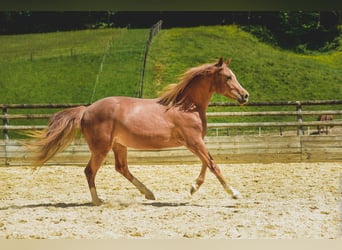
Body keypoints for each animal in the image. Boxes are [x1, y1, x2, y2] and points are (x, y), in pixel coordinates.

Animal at [29, 58, 248, 205]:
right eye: (228, 77)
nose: (245, 96)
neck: (187, 107)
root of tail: (85, 110)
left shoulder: (195, 142)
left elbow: (206, 163)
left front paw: (193, 188)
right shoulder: (194, 141)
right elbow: (213, 165)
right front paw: (234, 193)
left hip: (119, 145)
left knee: (121, 168)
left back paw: (149, 193)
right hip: (101, 148)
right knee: (90, 171)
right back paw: (98, 201)